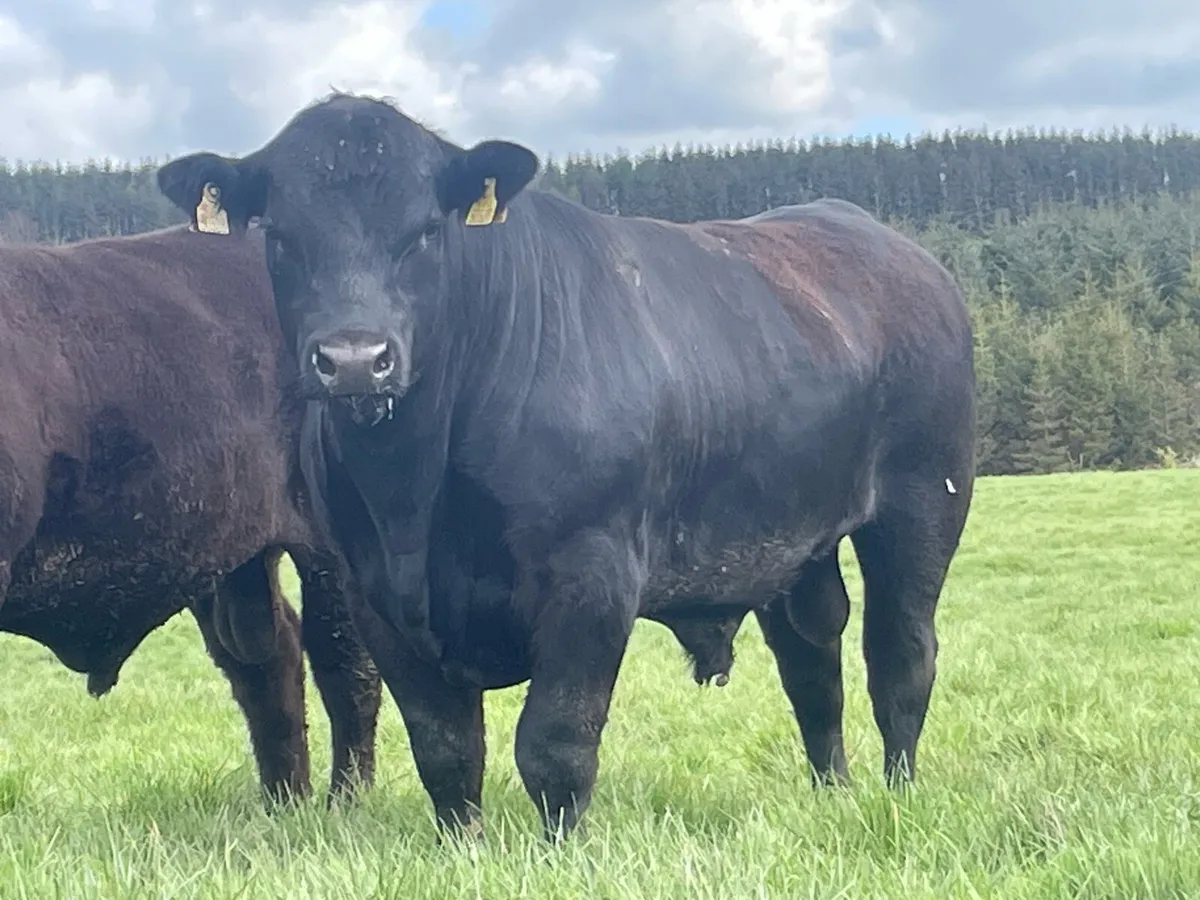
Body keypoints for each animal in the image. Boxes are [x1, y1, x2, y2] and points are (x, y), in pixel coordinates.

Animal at [0, 224, 382, 806]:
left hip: (328, 546)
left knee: (345, 665)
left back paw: (346, 802)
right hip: (227, 552)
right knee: (267, 658)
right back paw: (285, 802)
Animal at [155, 92, 977, 844]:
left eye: (425, 231)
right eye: (281, 236)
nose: (355, 358)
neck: (414, 497)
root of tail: (893, 246)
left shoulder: (593, 573)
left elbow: (554, 739)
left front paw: (561, 849)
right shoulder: (373, 593)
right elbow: (445, 746)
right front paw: (464, 849)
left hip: (923, 503)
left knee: (900, 655)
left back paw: (897, 792)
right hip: (795, 537)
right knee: (812, 658)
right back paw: (832, 790)